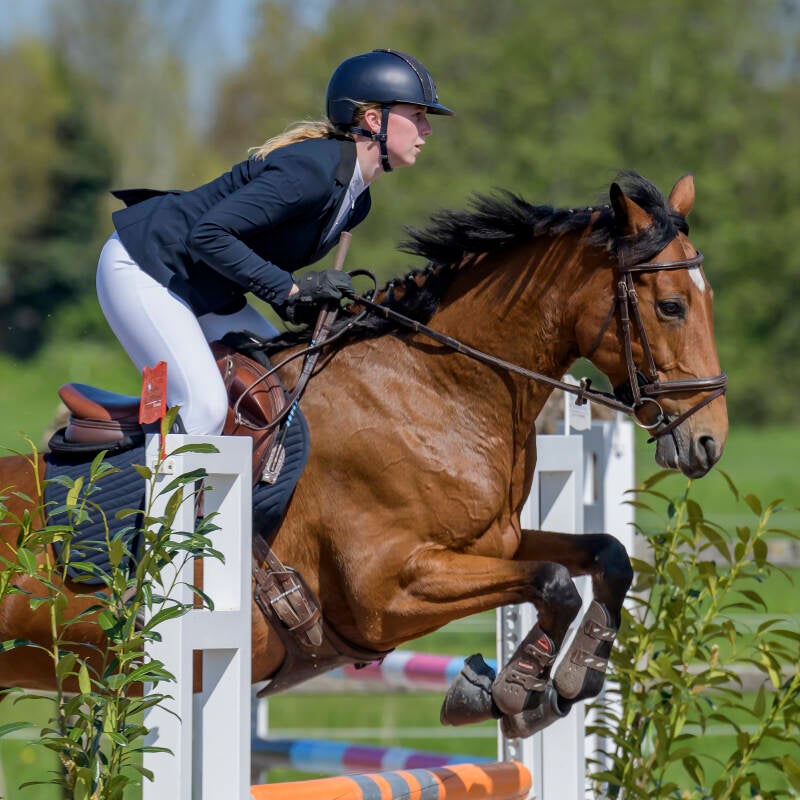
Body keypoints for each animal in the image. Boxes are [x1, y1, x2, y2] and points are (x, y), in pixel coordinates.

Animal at [0, 171, 727, 738]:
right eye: (670, 306)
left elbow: (605, 556)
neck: (435, 388)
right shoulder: (389, 589)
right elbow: (552, 582)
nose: (708, 442)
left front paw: (569, 678)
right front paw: (513, 691)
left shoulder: (494, 542)